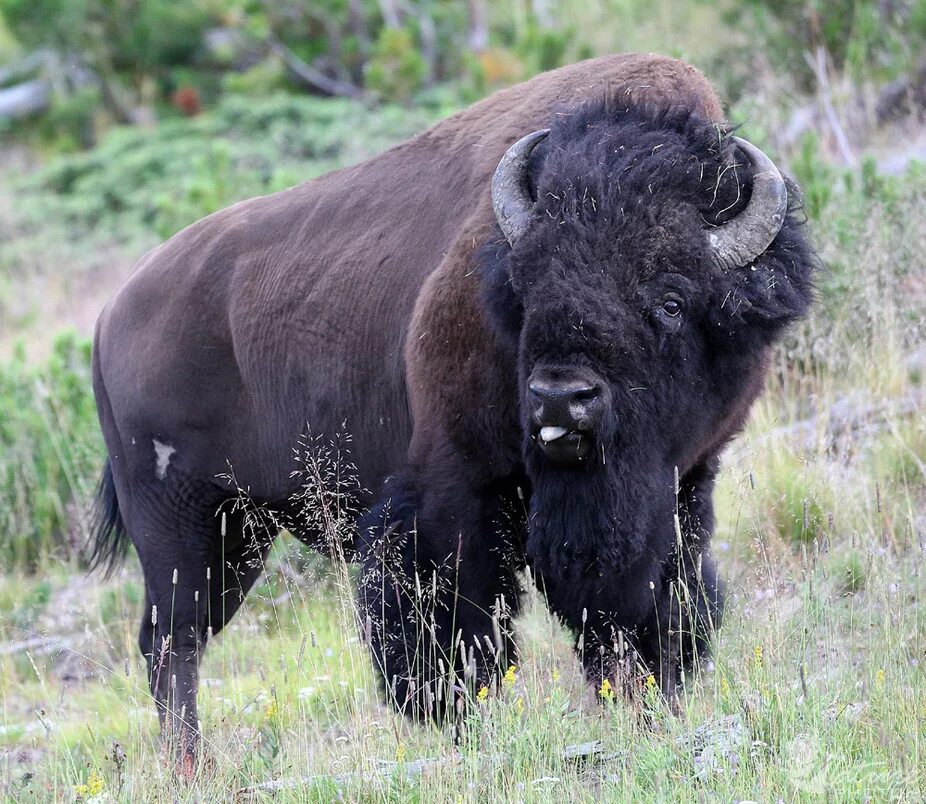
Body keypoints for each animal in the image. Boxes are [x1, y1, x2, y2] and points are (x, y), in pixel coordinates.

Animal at [90, 53, 816, 764]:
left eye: (670, 299)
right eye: (526, 290)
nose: (561, 398)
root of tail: (109, 317)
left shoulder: (681, 486)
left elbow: (654, 611)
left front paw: (648, 710)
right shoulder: (454, 494)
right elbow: (461, 634)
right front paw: (470, 730)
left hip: (238, 532)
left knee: (169, 639)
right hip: (181, 525)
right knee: (173, 641)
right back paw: (192, 766)